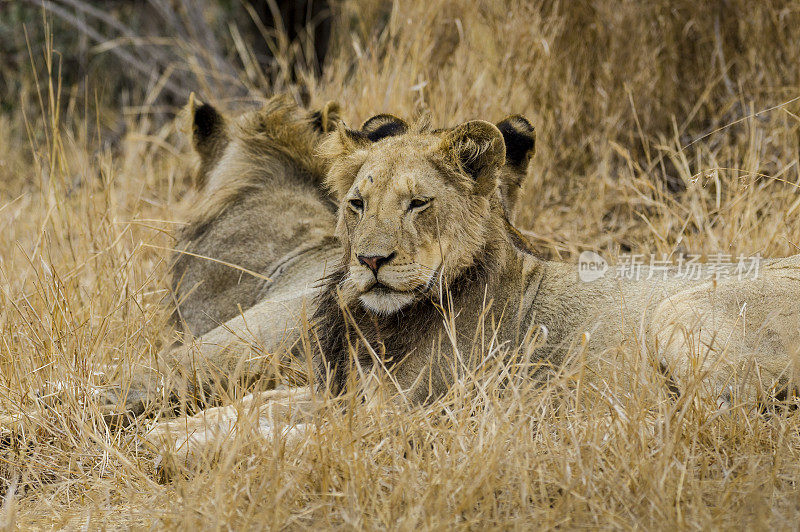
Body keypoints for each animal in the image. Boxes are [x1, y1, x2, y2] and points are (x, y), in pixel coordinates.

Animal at [117, 97, 800, 464]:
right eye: (356, 203)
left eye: (418, 203)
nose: (371, 261)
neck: (385, 326)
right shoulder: (344, 392)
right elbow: (254, 405)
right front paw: (167, 430)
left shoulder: (402, 416)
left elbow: (279, 433)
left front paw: (181, 447)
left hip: (677, 312)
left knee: (710, 422)